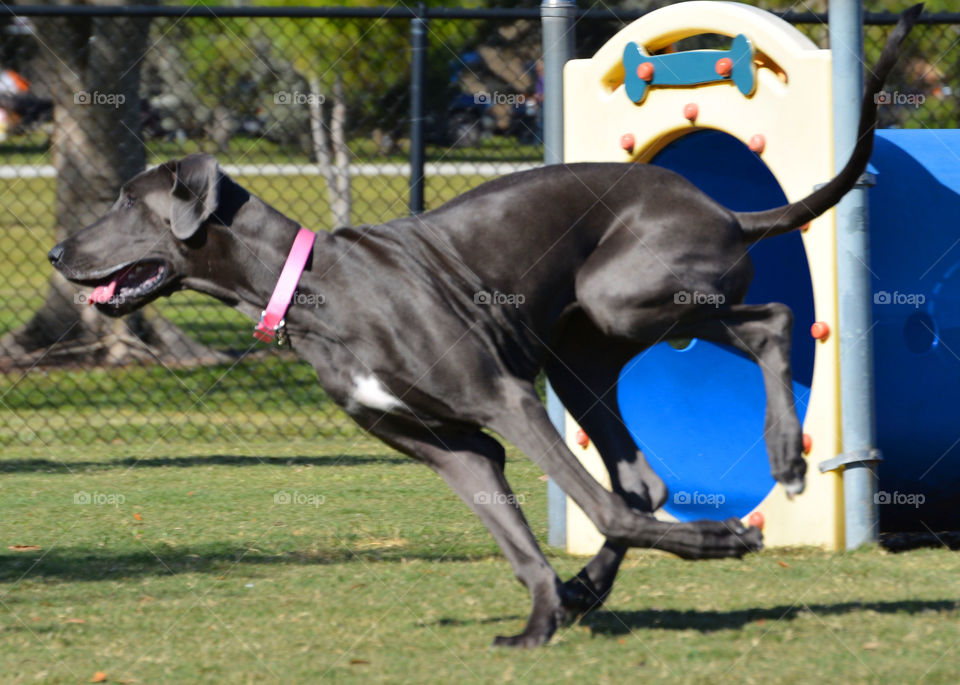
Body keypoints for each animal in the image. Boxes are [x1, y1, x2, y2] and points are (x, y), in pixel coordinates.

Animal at [48, 6, 920, 648]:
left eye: (128, 200)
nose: (57, 253)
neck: (313, 287)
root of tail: (729, 212)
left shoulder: (503, 399)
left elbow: (595, 505)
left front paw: (720, 541)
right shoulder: (450, 444)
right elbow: (519, 537)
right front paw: (540, 619)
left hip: (621, 293)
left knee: (773, 319)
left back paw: (785, 459)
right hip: (584, 350)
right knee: (649, 476)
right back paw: (592, 582)